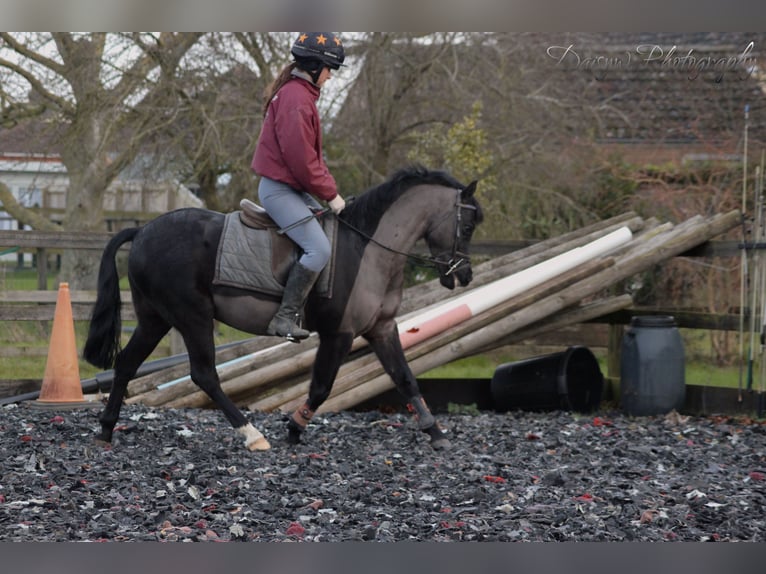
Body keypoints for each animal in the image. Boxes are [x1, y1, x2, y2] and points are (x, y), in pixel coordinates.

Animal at [82, 166, 480, 454]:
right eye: (467, 225)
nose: (464, 275)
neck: (368, 249)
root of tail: (142, 230)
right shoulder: (339, 334)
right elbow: (321, 387)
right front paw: (293, 428)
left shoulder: (381, 328)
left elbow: (405, 378)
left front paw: (436, 432)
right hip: (193, 316)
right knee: (204, 375)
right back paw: (252, 434)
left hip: (156, 318)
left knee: (126, 364)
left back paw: (106, 429)